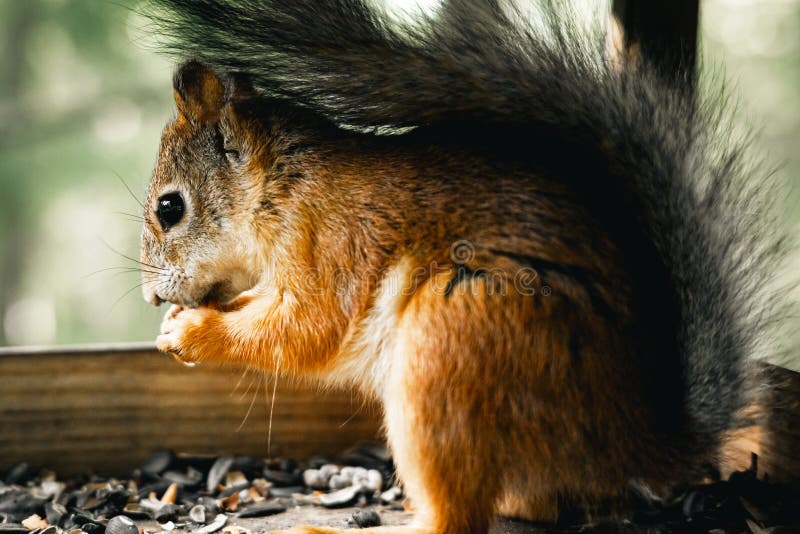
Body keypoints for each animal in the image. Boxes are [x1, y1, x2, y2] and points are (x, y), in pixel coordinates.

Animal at [138, 1, 791, 533]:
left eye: (170, 208)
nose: (150, 298)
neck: (280, 186)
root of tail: (635, 444)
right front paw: (178, 322)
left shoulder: (330, 245)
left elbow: (307, 330)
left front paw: (193, 331)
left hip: (454, 337)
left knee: (458, 520)